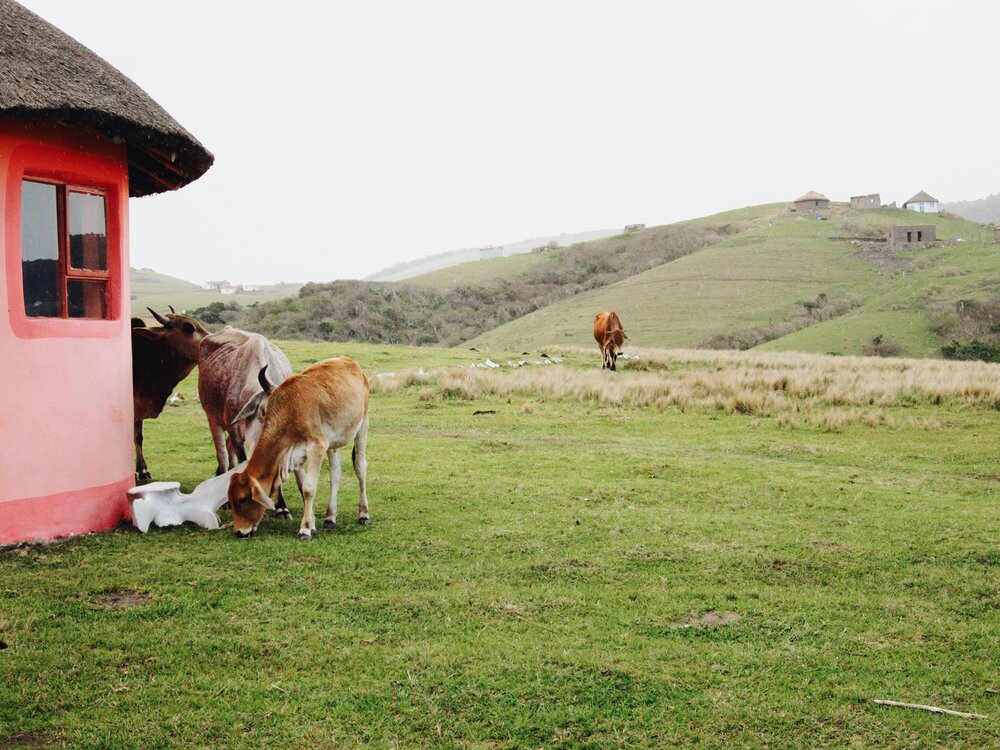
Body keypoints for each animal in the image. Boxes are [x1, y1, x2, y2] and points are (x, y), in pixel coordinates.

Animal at [197, 328, 292, 516]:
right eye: (264, 411)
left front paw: (281, 506)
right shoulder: (235, 433)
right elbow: (241, 462)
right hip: (213, 419)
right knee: (223, 456)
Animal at [227, 358, 372, 540]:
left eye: (242, 499)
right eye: (230, 500)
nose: (239, 532)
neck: (288, 413)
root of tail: (350, 362)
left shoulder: (317, 446)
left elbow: (308, 488)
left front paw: (305, 529)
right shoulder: (298, 455)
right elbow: (304, 486)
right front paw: (313, 525)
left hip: (362, 426)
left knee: (360, 467)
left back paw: (363, 514)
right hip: (332, 443)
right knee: (335, 473)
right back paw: (330, 517)